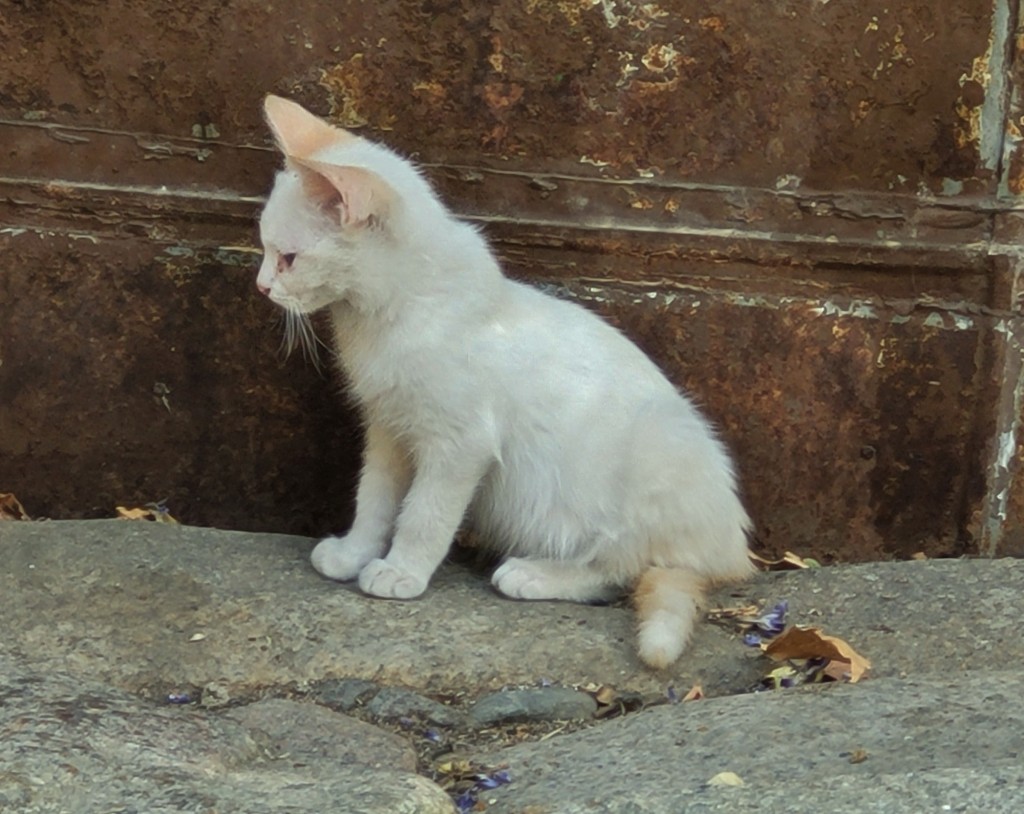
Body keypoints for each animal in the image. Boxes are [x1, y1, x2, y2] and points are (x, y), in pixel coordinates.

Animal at [256, 95, 753, 667]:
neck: (395, 313)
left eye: (288, 258)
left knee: (618, 568)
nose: (261, 285)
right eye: (265, 250)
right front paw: (354, 553)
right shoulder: (390, 431)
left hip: (655, 449)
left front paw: (402, 571)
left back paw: (533, 573)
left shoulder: (459, 444)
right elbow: (374, 500)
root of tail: (730, 547)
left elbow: (424, 514)